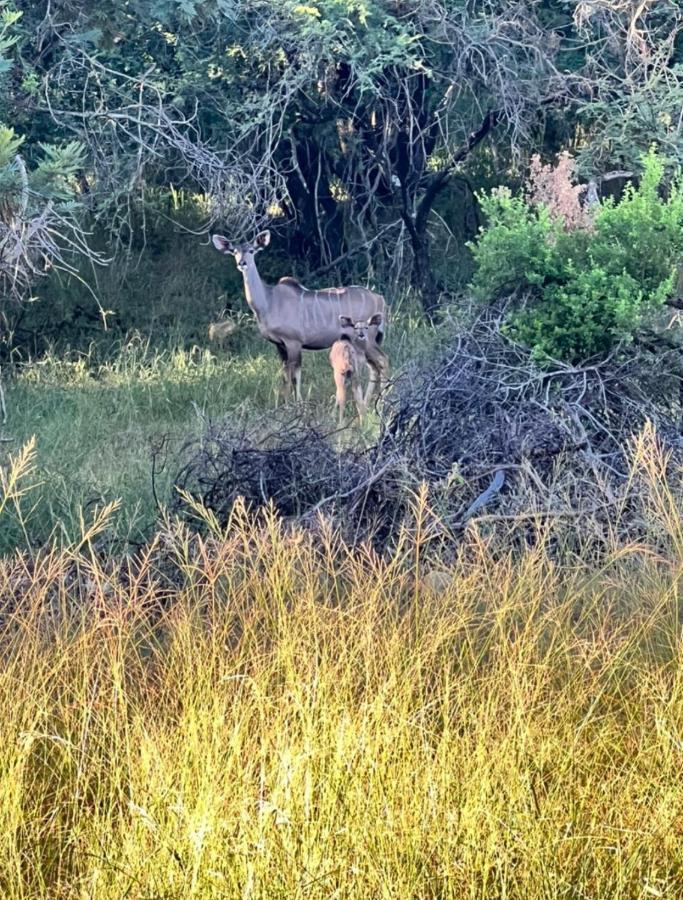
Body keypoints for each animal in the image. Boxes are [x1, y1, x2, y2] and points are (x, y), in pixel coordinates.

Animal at [211, 232, 388, 400]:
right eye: (234, 251)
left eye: (252, 250)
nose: (242, 263)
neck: (269, 301)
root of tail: (380, 299)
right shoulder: (280, 345)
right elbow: (285, 376)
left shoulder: (293, 342)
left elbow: (294, 376)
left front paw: (296, 404)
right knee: (374, 367)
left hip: (367, 339)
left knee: (382, 361)